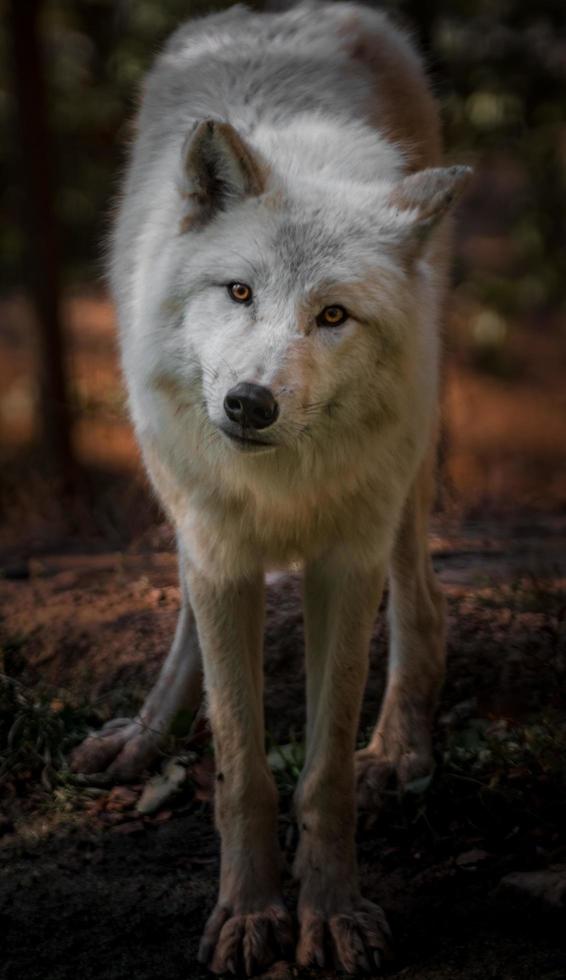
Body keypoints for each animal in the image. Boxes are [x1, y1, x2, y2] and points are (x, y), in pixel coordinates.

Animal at [73, 1, 472, 972]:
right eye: (240, 292)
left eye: (332, 315)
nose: (249, 403)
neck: (282, 481)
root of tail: (274, 11)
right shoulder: (221, 550)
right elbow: (240, 768)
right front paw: (251, 913)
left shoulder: (345, 561)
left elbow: (323, 774)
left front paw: (330, 913)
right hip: (173, 480)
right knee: (184, 612)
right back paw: (146, 735)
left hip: (404, 468)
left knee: (423, 594)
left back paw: (399, 746)